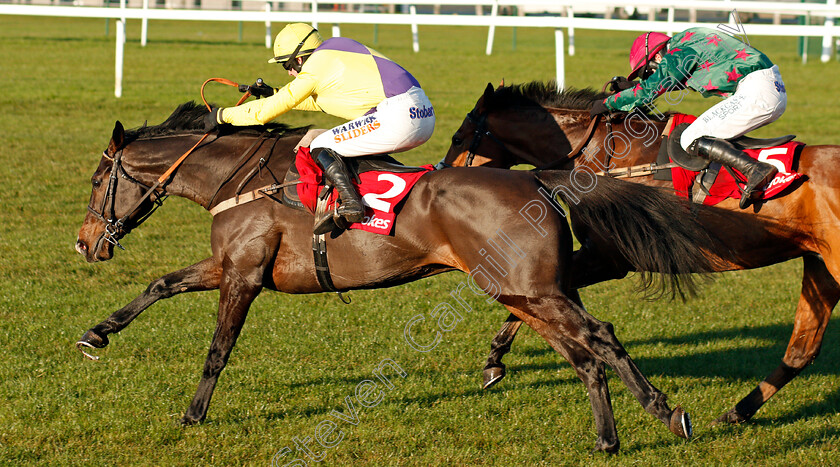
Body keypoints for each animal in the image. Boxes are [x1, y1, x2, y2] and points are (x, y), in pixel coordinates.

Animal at [75, 102, 724, 454]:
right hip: (526, 291)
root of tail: (539, 179)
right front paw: (96, 334)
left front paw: (193, 414)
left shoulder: (244, 275)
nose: (84, 242)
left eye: (97, 180)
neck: (238, 180)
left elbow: (218, 349)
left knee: (601, 338)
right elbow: (159, 284)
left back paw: (664, 413)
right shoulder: (229, 265)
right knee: (585, 355)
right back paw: (611, 435)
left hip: (532, 289)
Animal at [442, 81, 840, 428]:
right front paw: (496, 360)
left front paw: (495, 359)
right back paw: (735, 413)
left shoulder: (609, 258)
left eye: (457, 137)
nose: (442, 176)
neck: (602, 154)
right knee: (800, 352)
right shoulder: (600, 258)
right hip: (820, 266)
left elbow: (535, 299)